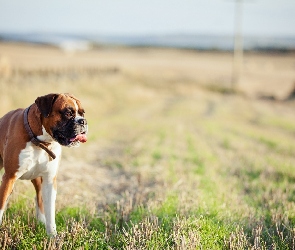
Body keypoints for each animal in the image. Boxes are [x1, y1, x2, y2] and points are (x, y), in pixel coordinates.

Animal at [0, 93, 88, 235]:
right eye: (68, 113)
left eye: (82, 113)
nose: (83, 121)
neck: (40, 142)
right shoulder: (9, 177)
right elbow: (1, 205)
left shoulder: (49, 181)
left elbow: (50, 211)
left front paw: (52, 236)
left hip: (37, 179)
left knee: (39, 198)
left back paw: (41, 221)